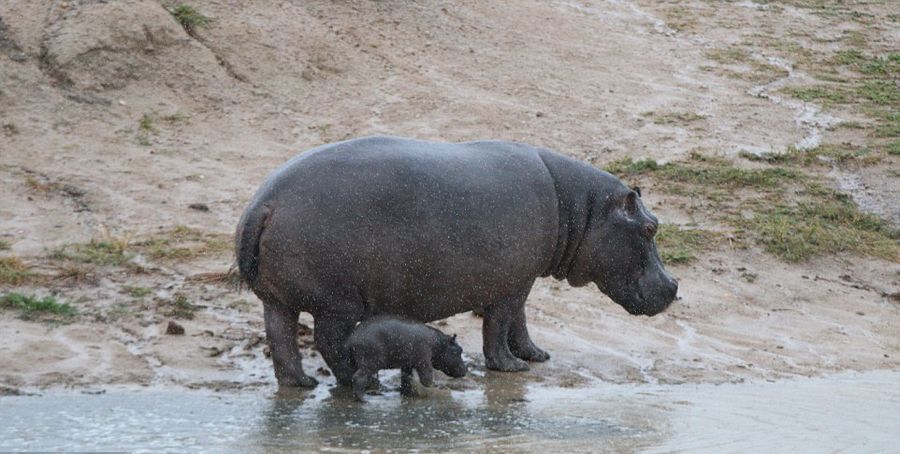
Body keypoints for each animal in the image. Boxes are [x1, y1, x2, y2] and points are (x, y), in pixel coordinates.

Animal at [236, 135, 680, 386]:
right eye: (651, 228)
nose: (674, 287)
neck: (581, 209)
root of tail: (263, 204)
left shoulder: (520, 278)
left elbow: (520, 322)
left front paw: (536, 356)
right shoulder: (511, 283)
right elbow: (499, 325)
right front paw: (511, 368)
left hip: (277, 299)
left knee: (281, 339)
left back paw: (302, 384)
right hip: (337, 304)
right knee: (328, 343)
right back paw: (359, 382)